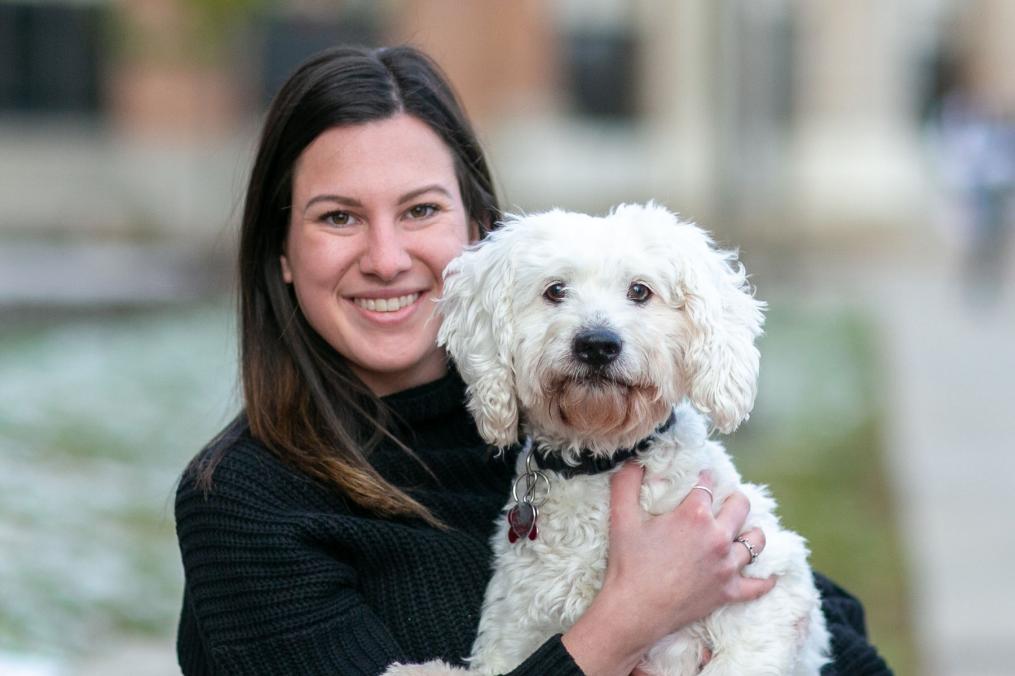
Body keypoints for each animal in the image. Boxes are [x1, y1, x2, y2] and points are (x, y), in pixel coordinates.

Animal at [383, 203, 828, 669]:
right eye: (556, 290)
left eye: (640, 291)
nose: (597, 344)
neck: (599, 459)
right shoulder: (515, 628)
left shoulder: (768, 588)